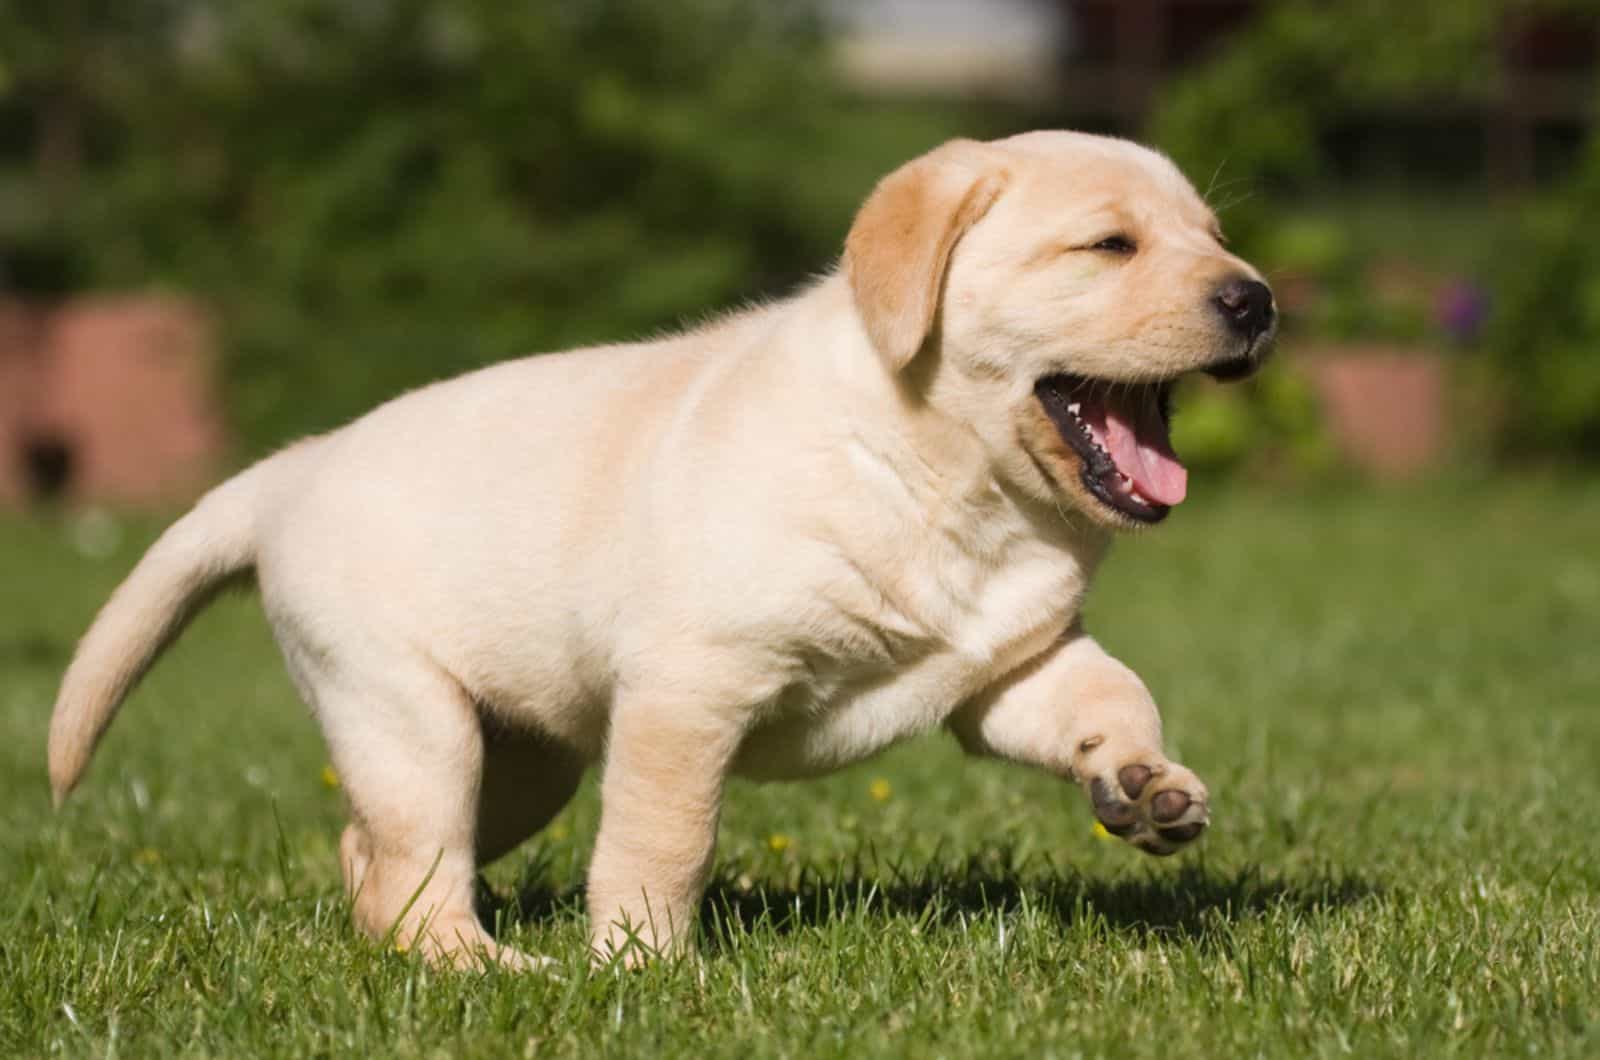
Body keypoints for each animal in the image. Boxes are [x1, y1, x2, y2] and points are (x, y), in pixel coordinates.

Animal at [53, 130, 1273, 973]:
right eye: (1107, 245)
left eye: (1216, 235)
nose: (1256, 299)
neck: (953, 481)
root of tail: (293, 466)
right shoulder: (691, 686)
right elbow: (664, 838)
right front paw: (639, 966)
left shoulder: (1010, 664)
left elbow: (1109, 692)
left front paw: (1146, 784)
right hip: (405, 715)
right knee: (412, 876)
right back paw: (498, 971)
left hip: (520, 761)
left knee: (373, 859)